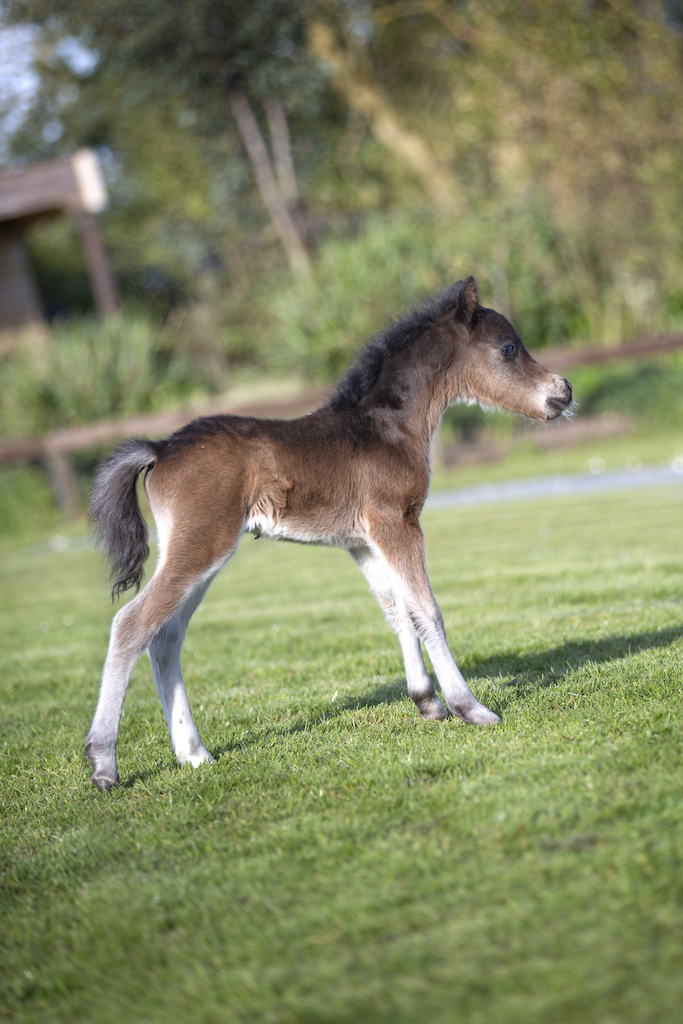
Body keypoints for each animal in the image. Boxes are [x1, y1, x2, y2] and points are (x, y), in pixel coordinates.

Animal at [86, 277, 573, 791]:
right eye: (508, 348)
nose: (564, 392)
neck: (390, 427)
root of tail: (159, 447)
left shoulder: (363, 542)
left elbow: (398, 611)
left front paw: (427, 702)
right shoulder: (398, 522)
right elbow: (428, 611)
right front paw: (471, 709)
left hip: (197, 552)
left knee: (165, 637)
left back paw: (195, 754)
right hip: (203, 544)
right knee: (132, 624)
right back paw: (104, 763)